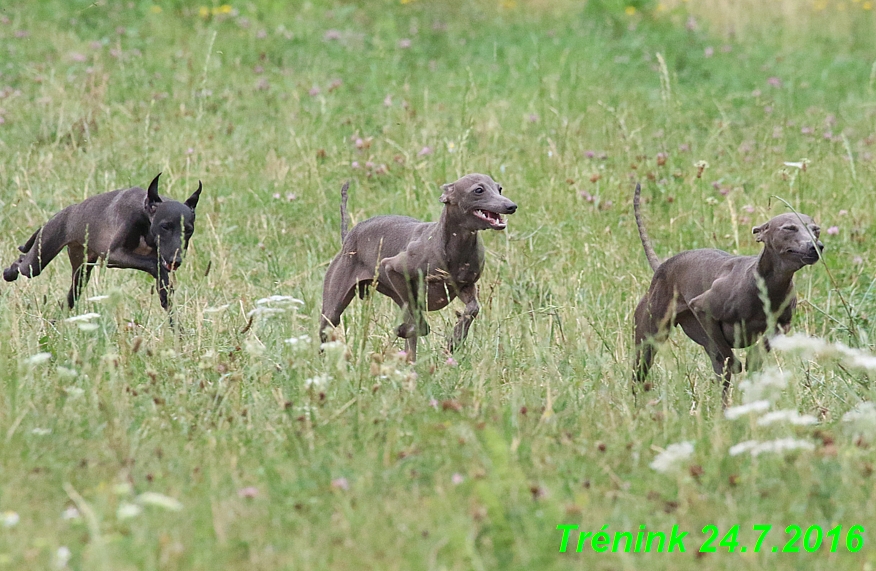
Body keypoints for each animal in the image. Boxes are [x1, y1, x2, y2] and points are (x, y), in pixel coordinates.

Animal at [3, 174, 202, 316]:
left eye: (188, 230)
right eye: (165, 226)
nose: (176, 261)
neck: (146, 213)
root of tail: (65, 211)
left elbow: (164, 284)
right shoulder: (113, 256)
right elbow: (153, 264)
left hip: (81, 274)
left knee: (69, 299)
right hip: (37, 260)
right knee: (22, 262)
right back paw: (9, 273)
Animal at [320, 174, 512, 362]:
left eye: (499, 188)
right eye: (478, 190)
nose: (511, 206)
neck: (453, 245)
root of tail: (348, 236)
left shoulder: (465, 285)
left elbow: (472, 309)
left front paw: (455, 339)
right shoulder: (392, 267)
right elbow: (420, 322)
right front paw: (405, 330)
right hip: (332, 309)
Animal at [632, 185, 824, 404]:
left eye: (816, 230)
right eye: (789, 228)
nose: (816, 246)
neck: (766, 285)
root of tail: (661, 267)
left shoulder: (782, 325)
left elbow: (758, 350)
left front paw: (753, 361)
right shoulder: (701, 307)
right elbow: (726, 354)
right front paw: (735, 362)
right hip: (649, 339)